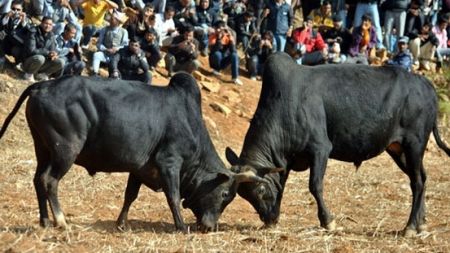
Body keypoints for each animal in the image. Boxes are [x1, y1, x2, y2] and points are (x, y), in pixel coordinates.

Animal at [0, 73, 264, 231]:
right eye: (225, 195)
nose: (209, 227)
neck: (189, 121)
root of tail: (42, 85)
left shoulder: (139, 169)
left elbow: (130, 196)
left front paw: (121, 224)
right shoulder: (169, 163)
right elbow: (173, 196)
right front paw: (181, 227)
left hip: (42, 149)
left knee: (38, 180)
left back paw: (45, 221)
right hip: (65, 151)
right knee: (50, 181)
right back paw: (61, 221)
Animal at [229, 52, 450, 236]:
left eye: (260, 190)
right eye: (244, 196)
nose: (267, 218)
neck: (285, 102)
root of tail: (426, 84)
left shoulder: (320, 149)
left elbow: (315, 186)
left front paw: (328, 221)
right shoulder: (286, 161)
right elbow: (281, 186)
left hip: (414, 144)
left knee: (417, 182)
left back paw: (410, 227)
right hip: (399, 149)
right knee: (421, 178)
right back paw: (421, 222)